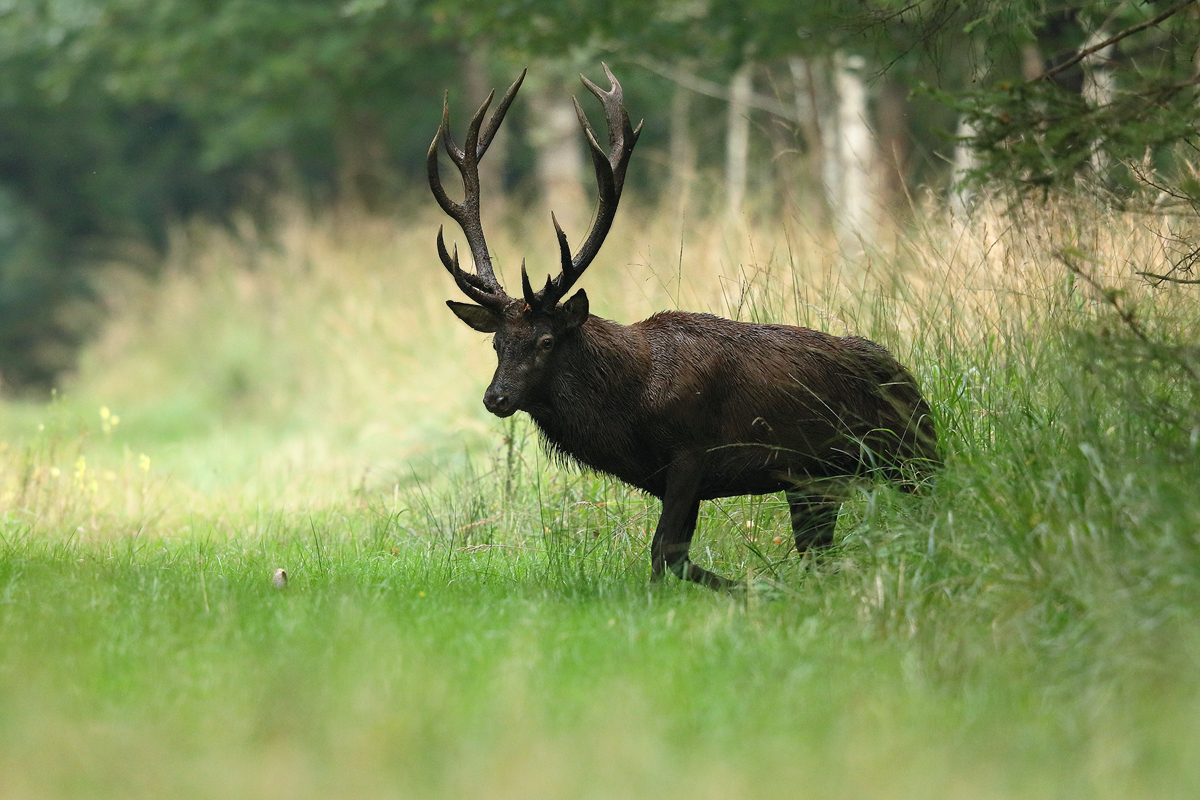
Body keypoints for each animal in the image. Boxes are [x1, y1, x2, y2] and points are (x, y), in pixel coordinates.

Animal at [427, 65, 940, 592]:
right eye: (496, 343)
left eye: (546, 340)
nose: (497, 397)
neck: (627, 412)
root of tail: (911, 381)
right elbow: (670, 553)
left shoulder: (692, 454)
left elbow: (665, 552)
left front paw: (749, 590)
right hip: (817, 481)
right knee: (817, 551)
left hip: (909, 454)